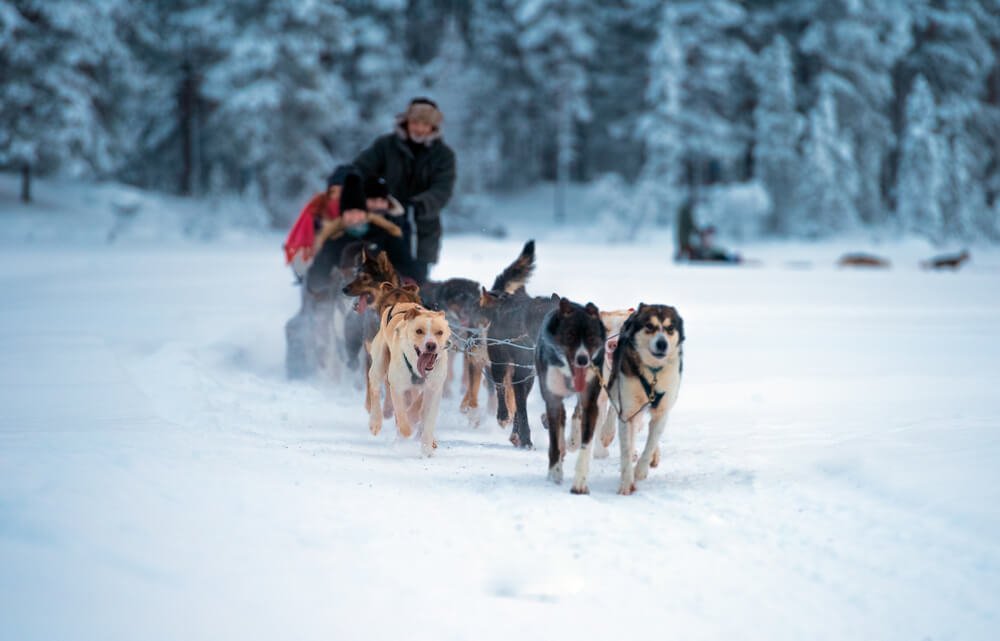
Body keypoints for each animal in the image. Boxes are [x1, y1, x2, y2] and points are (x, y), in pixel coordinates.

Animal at [366, 302, 452, 456]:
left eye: (440, 332)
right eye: (419, 331)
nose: (431, 345)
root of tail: (401, 304)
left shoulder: (434, 389)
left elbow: (428, 419)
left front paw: (426, 448)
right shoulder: (397, 388)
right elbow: (401, 414)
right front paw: (406, 430)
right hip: (379, 365)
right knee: (374, 388)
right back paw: (375, 422)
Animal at [536, 298, 604, 492]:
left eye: (591, 337)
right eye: (570, 335)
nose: (583, 359)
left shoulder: (590, 402)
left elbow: (586, 442)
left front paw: (580, 482)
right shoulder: (552, 400)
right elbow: (554, 443)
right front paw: (554, 473)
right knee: (560, 423)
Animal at [604, 304, 684, 496]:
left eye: (670, 328)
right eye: (649, 326)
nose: (662, 343)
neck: (652, 373)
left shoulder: (662, 412)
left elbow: (651, 443)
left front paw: (640, 470)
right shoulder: (628, 411)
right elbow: (626, 449)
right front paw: (626, 483)